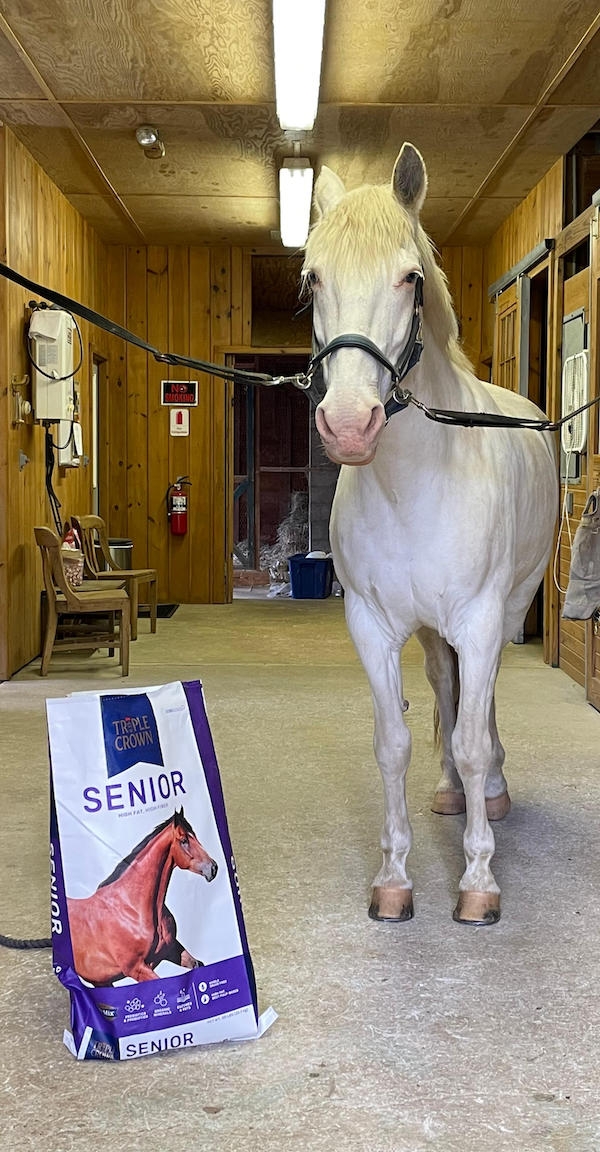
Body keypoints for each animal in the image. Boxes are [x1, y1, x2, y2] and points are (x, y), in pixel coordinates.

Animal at [67, 807, 218, 984]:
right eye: (183, 840)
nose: (213, 868)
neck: (132, 908)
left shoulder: (172, 950)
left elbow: (196, 964)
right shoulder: (137, 969)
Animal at [304, 142, 557, 926]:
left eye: (410, 277)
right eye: (312, 278)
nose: (348, 425)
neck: (414, 483)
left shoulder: (479, 618)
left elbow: (473, 741)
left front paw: (478, 881)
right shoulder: (375, 624)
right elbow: (394, 742)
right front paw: (394, 878)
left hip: (509, 607)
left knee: (484, 704)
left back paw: (492, 797)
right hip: (432, 630)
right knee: (448, 689)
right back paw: (450, 794)